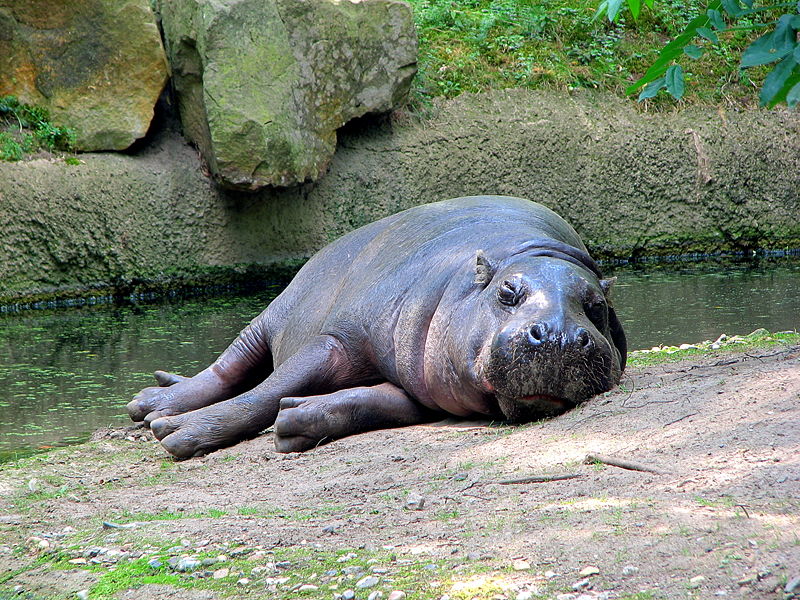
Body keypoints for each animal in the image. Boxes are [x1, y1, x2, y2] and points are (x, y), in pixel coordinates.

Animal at [128, 196, 627, 458]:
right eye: (508, 292)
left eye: (597, 307)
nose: (558, 335)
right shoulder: (335, 341)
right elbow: (265, 392)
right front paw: (175, 433)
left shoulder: (421, 386)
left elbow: (370, 402)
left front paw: (297, 419)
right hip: (268, 317)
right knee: (229, 368)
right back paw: (153, 404)